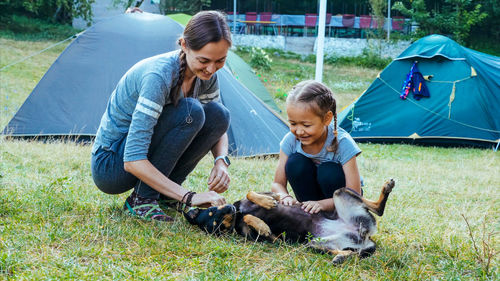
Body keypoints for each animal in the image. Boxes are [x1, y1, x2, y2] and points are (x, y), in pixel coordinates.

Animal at [184, 179, 394, 262]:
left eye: (212, 211)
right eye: (216, 224)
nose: (230, 208)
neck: (238, 215)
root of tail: (364, 235)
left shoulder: (273, 194)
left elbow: (251, 193)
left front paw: (265, 205)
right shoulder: (273, 239)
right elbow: (255, 222)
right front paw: (262, 224)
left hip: (340, 193)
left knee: (378, 208)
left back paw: (387, 188)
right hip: (314, 244)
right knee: (351, 253)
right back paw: (340, 257)